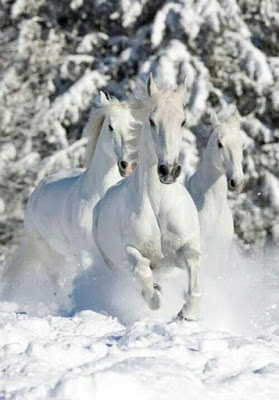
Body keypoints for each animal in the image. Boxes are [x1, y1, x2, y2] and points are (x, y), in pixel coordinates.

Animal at [0, 91, 139, 310]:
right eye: (110, 126)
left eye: (136, 125)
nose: (128, 165)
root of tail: (37, 191)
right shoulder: (85, 253)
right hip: (49, 254)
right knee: (59, 284)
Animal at [93, 74, 201, 318]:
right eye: (152, 121)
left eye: (182, 121)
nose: (168, 170)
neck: (158, 203)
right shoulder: (131, 251)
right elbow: (142, 271)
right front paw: (155, 297)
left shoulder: (184, 248)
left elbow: (193, 261)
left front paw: (186, 312)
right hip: (113, 266)